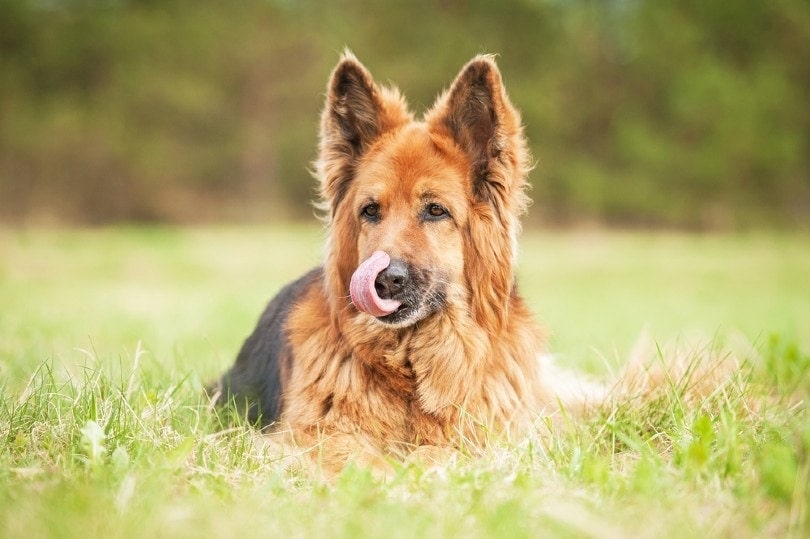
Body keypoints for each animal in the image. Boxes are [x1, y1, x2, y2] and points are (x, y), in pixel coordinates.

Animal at [211, 52, 592, 470]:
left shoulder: (482, 436)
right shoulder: (313, 437)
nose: (384, 281)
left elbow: (438, 453)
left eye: (436, 210)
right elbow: (363, 461)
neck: (408, 366)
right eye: (370, 210)